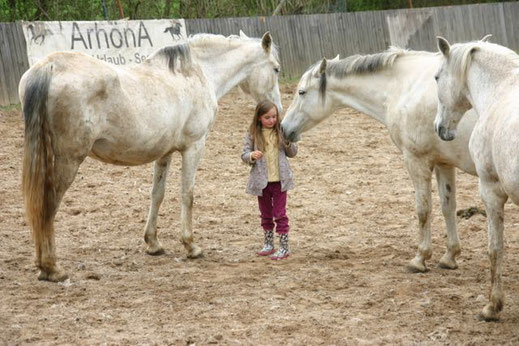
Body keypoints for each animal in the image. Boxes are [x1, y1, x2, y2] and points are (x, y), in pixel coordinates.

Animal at [19, 31, 284, 282]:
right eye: (276, 69)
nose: (277, 113)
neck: (197, 73)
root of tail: (49, 67)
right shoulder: (194, 147)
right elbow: (187, 194)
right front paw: (191, 246)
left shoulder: (164, 153)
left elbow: (157, 194)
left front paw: (153, 243)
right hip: (69, 160)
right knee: (48, 205)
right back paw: (51, 268)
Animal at [282, 47, 482, 274]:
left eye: (301, 92)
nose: (283, 127)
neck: (403, 86)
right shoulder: (443, 163)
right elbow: (448, 207)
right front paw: (450, 256)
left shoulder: (416, 161)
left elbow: (423, 210)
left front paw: (420, 258)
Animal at [436, 36, 516, 320]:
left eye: (436, 77)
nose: (440, 128)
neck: (500, 91)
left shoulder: (490, 191)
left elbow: (495, 248)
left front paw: (492, 307)